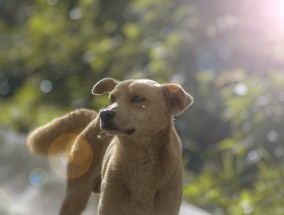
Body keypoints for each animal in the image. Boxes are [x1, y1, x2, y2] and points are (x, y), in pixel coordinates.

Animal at [26, 78, 193, 214]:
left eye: (138, 98)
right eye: (112, 98)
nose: (105, 114)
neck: (140, 161)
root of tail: (93, 116)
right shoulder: (109, 207)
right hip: (75, 196)